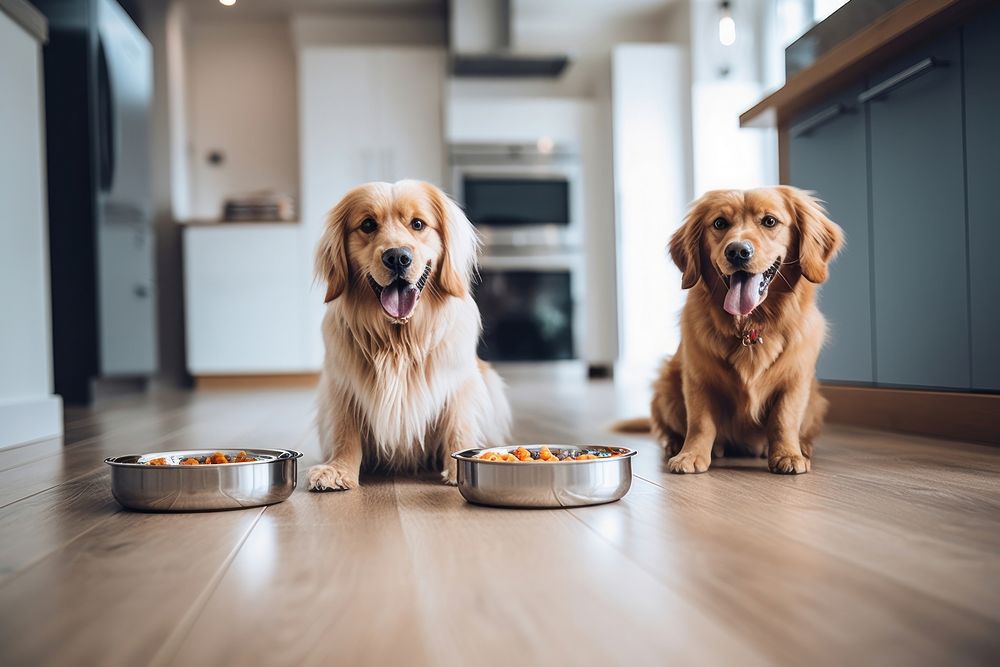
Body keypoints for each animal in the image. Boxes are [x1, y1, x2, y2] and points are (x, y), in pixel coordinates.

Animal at [306, 177, 512, 490]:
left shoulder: (459, 383)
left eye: (417, 224)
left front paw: (459, 468)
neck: (398, 340)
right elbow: (345, 432)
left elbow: (459, 425)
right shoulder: (342, 386)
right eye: (368, 224)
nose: (397, 257)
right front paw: (338, 469)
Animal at [640, 187, 836, 474]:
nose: (737, 251)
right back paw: (678, 444)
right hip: (666, 385)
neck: (749, 326)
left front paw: (788, 454)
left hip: (816, 402)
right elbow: (700, 422)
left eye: (769, 221)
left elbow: (784, 418)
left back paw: (801, 446)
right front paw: (691, 455)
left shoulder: (795, 380)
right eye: (720, 223)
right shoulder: (698, 378)